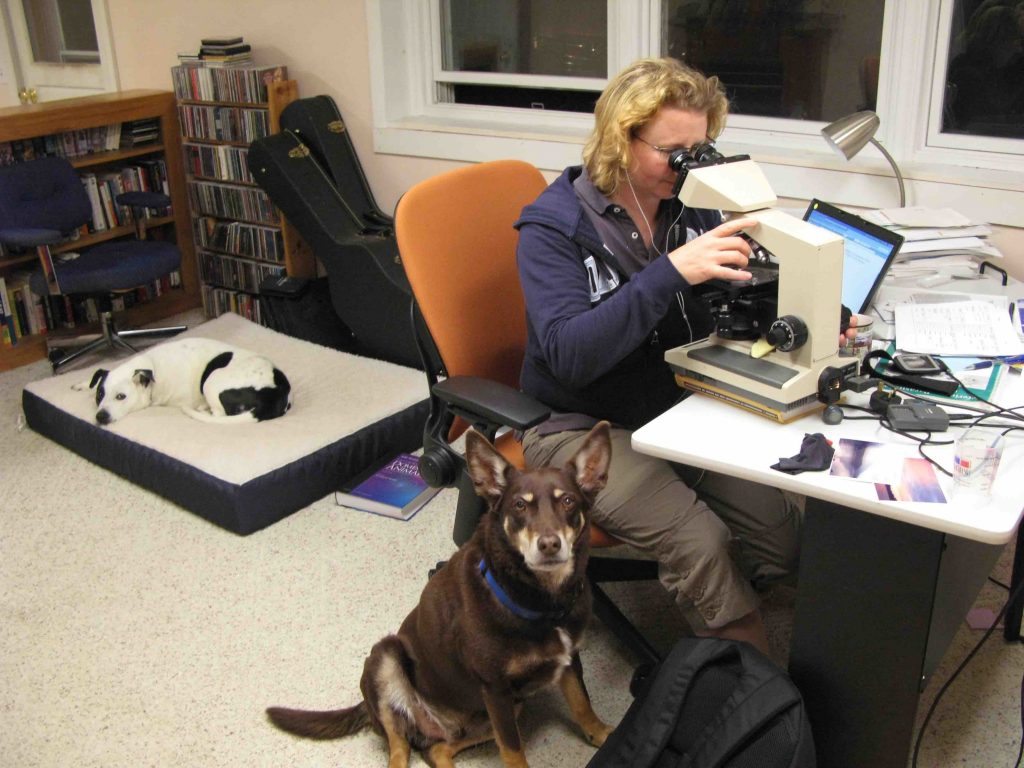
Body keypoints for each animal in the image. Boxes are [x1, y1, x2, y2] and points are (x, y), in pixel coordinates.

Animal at [268, 423, 610, 765]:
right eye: (520, 505)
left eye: (568, 501)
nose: (550, 544)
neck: (545, 600)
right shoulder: (495, 688)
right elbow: (514, 752)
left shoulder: (567, 659)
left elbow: (582, 703)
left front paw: (602, 734)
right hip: (386, 658)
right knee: (400, 748)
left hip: (501, 711)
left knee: (436, 749)